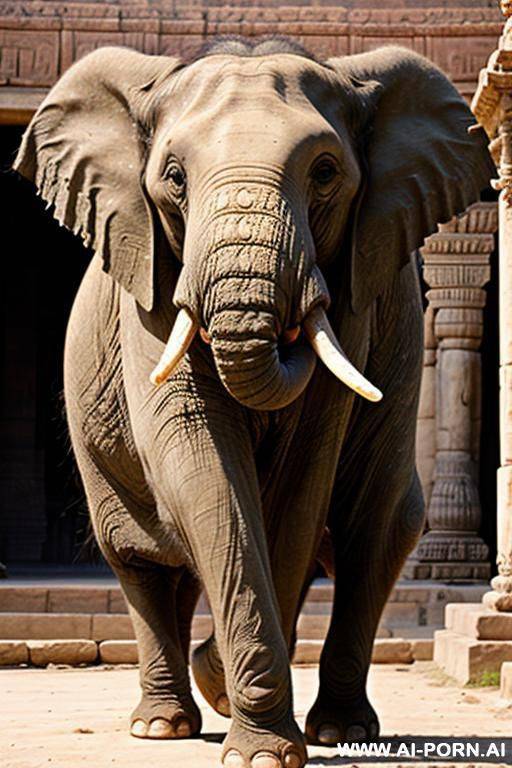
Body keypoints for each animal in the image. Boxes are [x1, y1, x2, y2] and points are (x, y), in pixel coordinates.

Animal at [15, 36, 493, 768]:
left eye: (324, 172)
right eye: (174, 177)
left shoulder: (353, 307)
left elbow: (297, 484)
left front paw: (252, 726)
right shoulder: (149, 282)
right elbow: (201, 457)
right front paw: (257, 741)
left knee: (375, 532)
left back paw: (339, 730)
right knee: (140, 556)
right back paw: (161, 725)